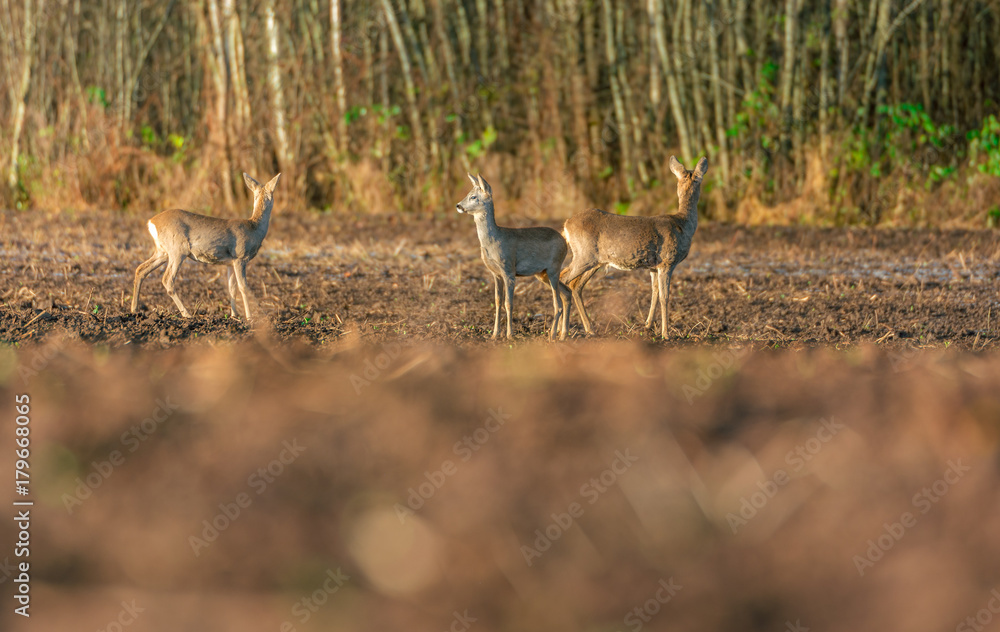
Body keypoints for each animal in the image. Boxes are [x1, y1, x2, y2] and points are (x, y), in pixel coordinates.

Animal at [131, 172, 282, 320]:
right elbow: (243, 287)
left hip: (162, 251)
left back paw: (134, 310)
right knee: (167, 279)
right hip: (177, 250)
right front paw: (251, 317)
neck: (254, 228)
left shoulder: (230, 262)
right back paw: (187, 314)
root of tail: (151, 222)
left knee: (141, 269)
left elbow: (231, 288)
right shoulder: (241, 257)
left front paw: (234, 315)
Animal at [456, 173, 572, 340]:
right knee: (567, 293)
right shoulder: (495, 273)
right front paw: (494, 334)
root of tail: (564, 240)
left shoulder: (508, 270)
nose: (458, 206)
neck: (494, 240)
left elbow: (508, 303)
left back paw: (552, 336)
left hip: (554, 268)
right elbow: (498, 301)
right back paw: (563, 334)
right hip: (542, 274)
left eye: (473, 197)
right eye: (468, 193)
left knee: (558, 304)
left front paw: (510, 335)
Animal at [560, 156, 708, 338]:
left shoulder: (654, 267)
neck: (682, 224)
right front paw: (665, 334)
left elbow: (654, 292)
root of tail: (566, 225)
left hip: (594, 260)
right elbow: (664, 297)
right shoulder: (667, 262)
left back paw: (584, 329)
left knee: (574, 285)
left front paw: (648, 326)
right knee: (563, 279)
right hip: (584, 255)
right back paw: (562, 332)